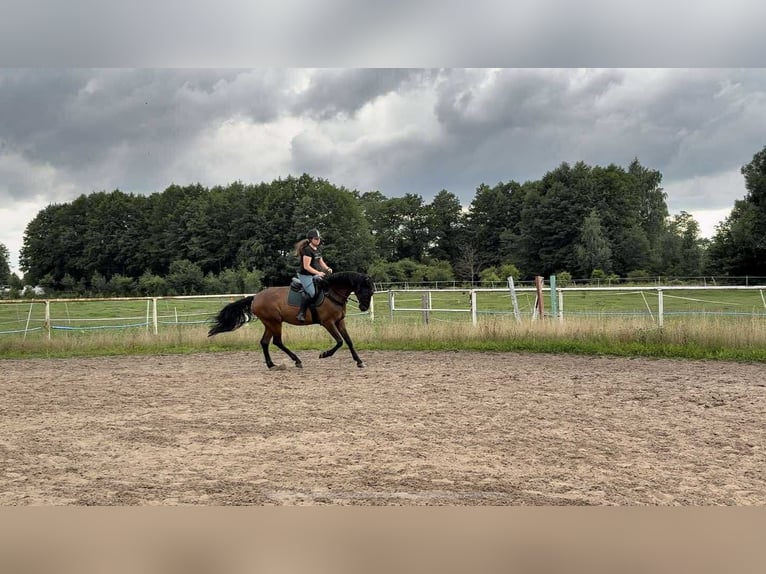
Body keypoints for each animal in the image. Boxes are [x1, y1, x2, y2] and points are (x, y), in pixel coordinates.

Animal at [208, 271, 375, 369]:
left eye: (372, 292)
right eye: (365, 290)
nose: (364, 307)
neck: (332, 293)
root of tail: (256, 297)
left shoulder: (340, 321)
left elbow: (348, 341)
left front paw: (359, 361)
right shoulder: (328, 323)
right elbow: (339, 341)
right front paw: (324, 354)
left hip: (270, 323)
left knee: (265, 342)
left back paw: (272, 364)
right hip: (275, 322)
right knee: (277, 342)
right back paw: (297, 360)